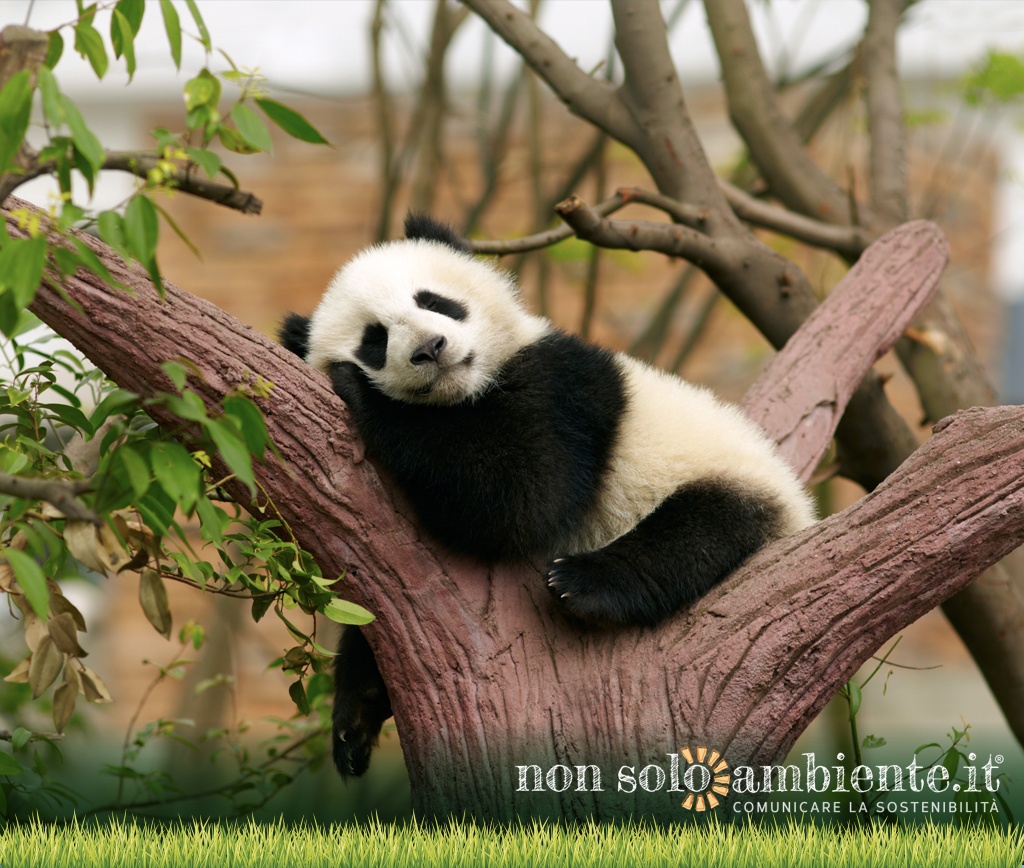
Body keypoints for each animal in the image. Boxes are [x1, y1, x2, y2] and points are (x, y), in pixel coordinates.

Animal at [280, 214, 815, 777]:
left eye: (435, 301)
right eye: (375, 340)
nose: (431, 348)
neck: (466, 392)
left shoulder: (562, 387)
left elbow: (523, 497)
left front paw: (360, 391)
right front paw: (356, 714)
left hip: (728, 477)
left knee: (699, 530)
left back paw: (585, 583)